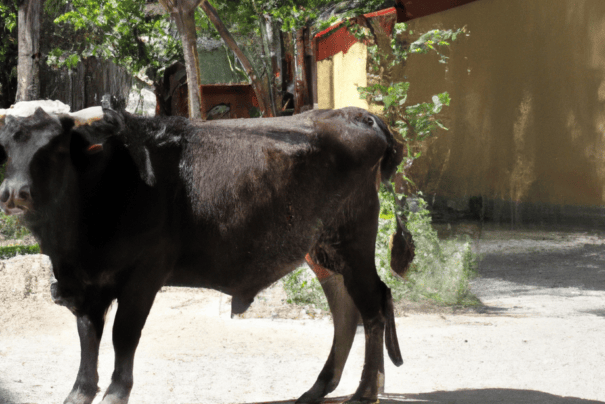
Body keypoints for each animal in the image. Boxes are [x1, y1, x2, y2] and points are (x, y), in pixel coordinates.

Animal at [0, 106, 412, 404]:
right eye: (5, 149)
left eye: (55, 150)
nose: (14, 193)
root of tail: (354, 114)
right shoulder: (86, 287)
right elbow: (89, 338)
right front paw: (80, 392)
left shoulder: (143, 278)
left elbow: (122, 335)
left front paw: (116, 392)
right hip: (322, 250)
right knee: (344, 308)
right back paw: (319, 388)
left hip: (352, 243)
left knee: (373, 305)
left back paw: (365, 391)